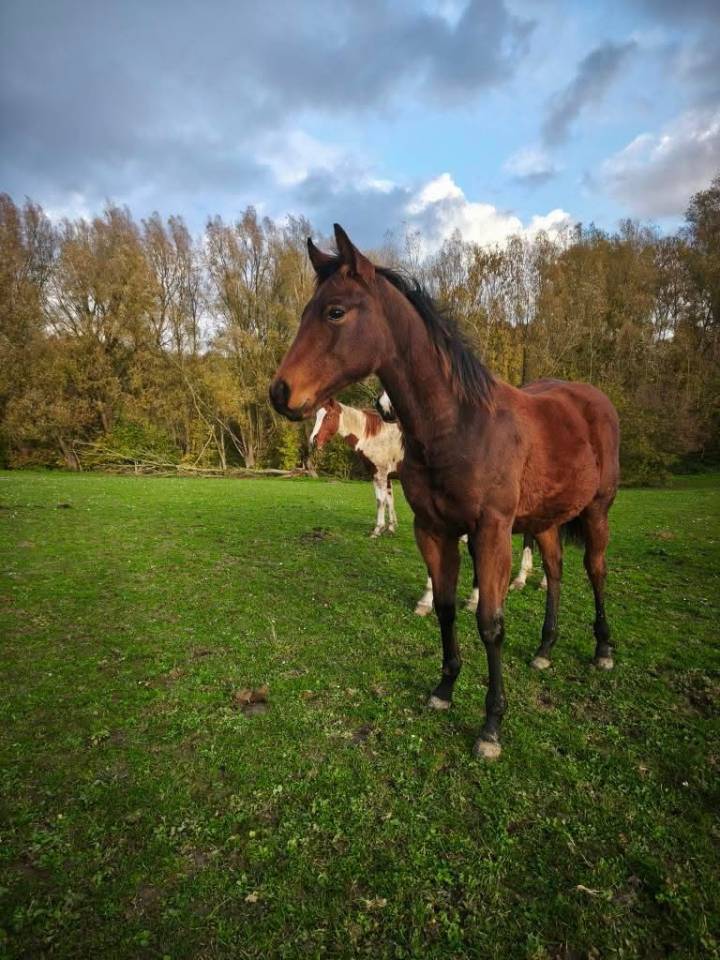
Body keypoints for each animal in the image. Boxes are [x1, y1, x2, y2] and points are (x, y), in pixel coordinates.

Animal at [309, 398, 403, 537]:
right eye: (316, 416)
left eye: (328, 417)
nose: (313, 441)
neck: (375, 437)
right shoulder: (387, 476)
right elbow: (389, 501)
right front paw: (390, 528)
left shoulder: (379, 474)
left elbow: (380, 501)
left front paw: (377, 530)